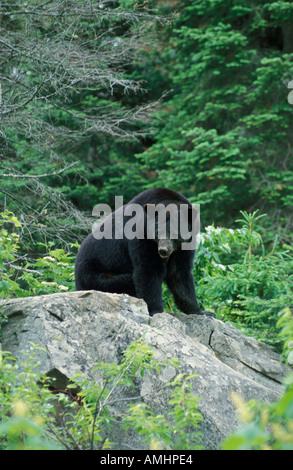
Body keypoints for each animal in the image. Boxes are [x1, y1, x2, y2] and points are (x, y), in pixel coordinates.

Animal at [74, 189, 213, 318]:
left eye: (175, 233)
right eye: (158, 231)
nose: (163, 250)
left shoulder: (185, 246)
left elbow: (179, 272)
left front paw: (201, 311)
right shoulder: (141, 236)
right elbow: (148, 270)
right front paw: (156, 311)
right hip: (95, 276)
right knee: (127, 280)